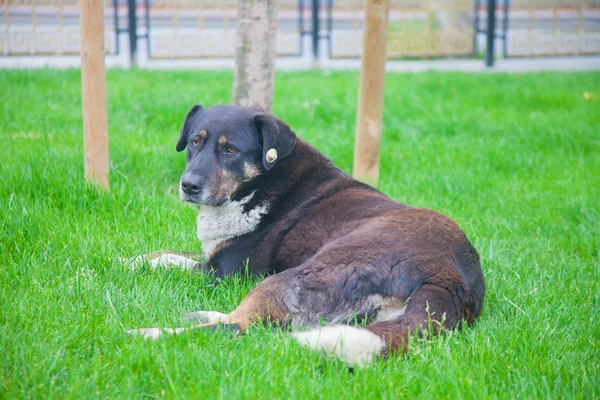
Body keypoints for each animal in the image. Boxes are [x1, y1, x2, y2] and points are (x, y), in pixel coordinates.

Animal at [125, 104, 482, 368]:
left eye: (230, 149)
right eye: (195, 142)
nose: (188, 186)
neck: (260, 185)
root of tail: (450, 277)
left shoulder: (225, 271)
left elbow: (174, 263)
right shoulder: (215, 252)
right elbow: (166, 253)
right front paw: (132, 259)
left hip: (299, 274)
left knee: (236, 326)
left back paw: (148, 334)